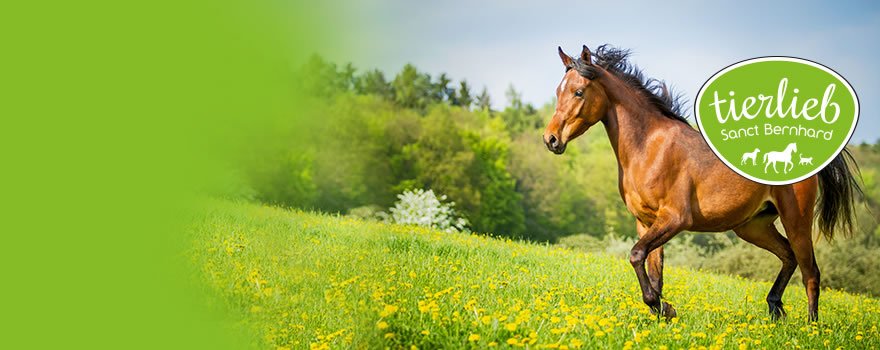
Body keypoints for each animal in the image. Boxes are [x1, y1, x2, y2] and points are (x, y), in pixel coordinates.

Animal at [544, 45, 860, 322]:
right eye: (558, 91)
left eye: (579, 92)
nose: (551, 139)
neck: (649, 147)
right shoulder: (646, 222)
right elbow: (653, 270)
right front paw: (661, 312)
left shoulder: (674, 219)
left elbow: (635, 256)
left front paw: (663, 308)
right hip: (753, 227)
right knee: (789, 257)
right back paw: (775, 309)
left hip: (796, 221)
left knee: (811, 273)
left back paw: (810, 326)